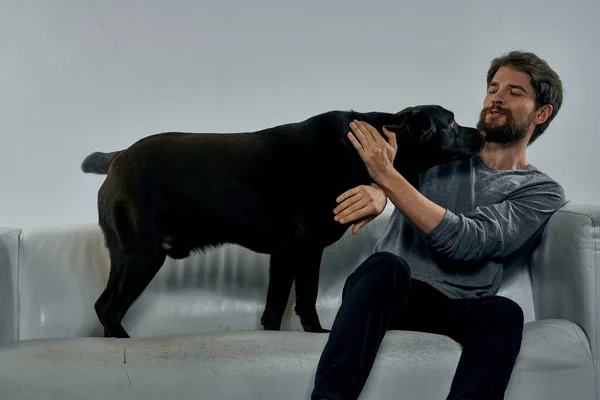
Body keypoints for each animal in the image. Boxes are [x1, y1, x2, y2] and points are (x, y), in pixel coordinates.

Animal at [79, 104, 486, 338]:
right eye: (452, 124)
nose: (482, 132)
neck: (354, 151)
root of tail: (117, 158)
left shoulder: (299, 253)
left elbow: (292, 302)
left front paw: (304, 334)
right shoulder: (295, 250)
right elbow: (287, 303)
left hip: (132, 258)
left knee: (104, 306)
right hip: (142, 256)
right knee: (107, 308)